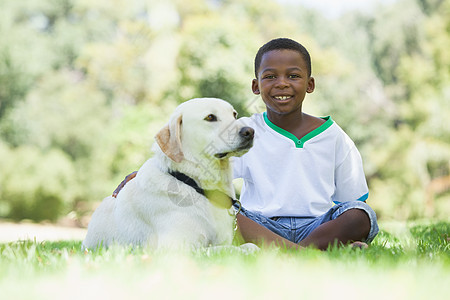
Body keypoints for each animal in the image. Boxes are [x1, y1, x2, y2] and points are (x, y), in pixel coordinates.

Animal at [82, 98, 255, 251]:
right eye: (210, 117)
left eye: (234, 114)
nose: (249, 131)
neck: (192, 183)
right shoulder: (176, 248)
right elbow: (227, 250)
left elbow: (247, 246)